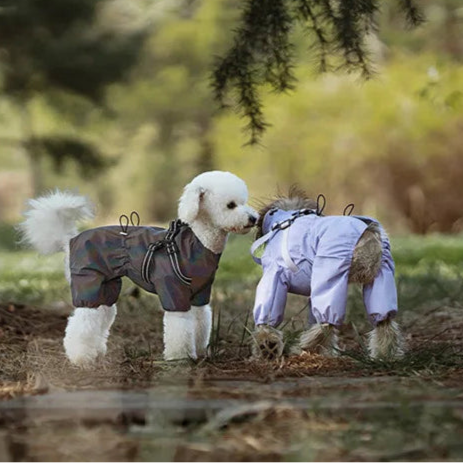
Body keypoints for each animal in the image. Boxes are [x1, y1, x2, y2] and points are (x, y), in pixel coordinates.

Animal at [20, 170, 260, 366]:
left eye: (244, 201)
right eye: (231, 205)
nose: (254, 218)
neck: (198, 241)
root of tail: (70, 240)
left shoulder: (200, 295)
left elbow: (201, 324)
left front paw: (200, 353)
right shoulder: (175, 294)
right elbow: (179, 330)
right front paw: (180, 359)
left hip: (106, 289)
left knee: (101, 317)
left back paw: (95, 353)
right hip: (88, 284)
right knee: (81, 323)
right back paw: (80, 359)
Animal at [250, 188, 406, 362]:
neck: (286, 218)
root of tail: (369, 236)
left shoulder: (274, 277)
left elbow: (266, 316)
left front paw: (267, 343)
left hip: (329, 274)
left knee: (327, 322)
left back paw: (305, 345)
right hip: (381, 279)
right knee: (384, 322)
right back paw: (384, 355)